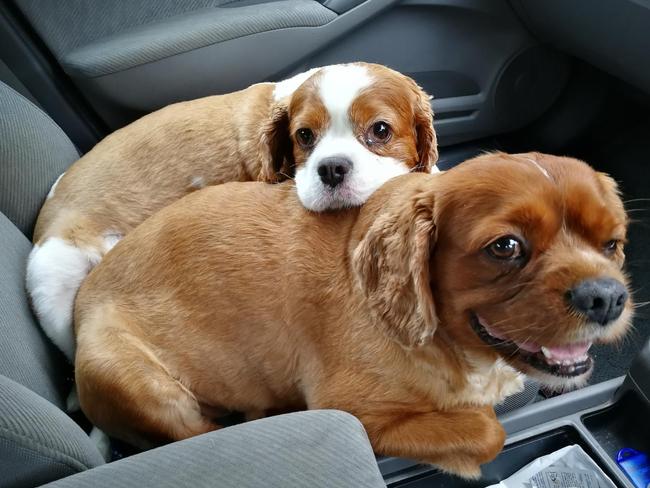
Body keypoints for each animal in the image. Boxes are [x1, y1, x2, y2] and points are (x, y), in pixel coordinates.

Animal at [73, 152, 632, 476]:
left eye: (613, 243)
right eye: (506, 246)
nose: (606, 297)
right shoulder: (354, 412)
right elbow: (487, 430)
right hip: (135, 381)